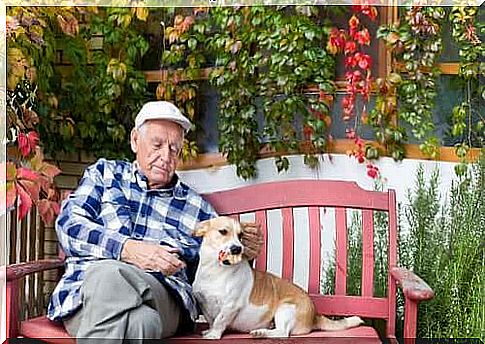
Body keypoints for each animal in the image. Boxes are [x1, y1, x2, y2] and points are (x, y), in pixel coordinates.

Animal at [193, 216, 364, 340]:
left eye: (241, 236)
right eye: (223, 232)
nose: (237, 249)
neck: (216, 270)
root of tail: (315, 315)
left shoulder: (230, 306)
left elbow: (219, 320)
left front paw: (213, 335)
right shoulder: (204, 304)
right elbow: (212, 320)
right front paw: (209, 331)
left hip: (285, 309)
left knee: (283, 333)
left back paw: (261, 333)